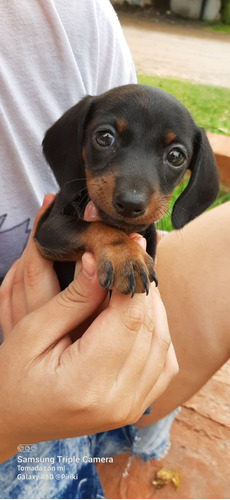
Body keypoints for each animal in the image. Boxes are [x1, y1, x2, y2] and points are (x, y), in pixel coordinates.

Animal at [34, 84, 219, 294]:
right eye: (105, 137)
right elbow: (98, 226)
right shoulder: (47, 230)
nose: (130, 204)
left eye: (175, 156)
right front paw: (126, 256)